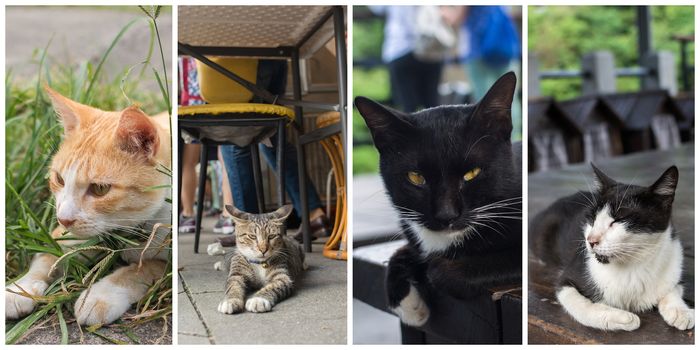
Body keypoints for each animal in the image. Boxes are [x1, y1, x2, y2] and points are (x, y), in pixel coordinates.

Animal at [5, 87, 171, 326]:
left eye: (100, 189)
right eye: (59, 179)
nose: (64, 218)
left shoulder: (167, 261)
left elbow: (140, 270)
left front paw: (100, 295)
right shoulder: (65, 236)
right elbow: (48, 257)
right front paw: (20, 289)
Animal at [356, 72, 520, 326]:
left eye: (471, 173)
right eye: (416, 177)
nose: (446, 214)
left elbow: (439, 270)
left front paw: (432, 269)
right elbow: (404, 251)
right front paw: (409, 306)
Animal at [532, 164, 692, 330]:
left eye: (618, 220)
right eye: (592, 218)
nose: (591, 240)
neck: (633, 266)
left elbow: (673, 288)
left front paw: (681, 312)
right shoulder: (567, 280)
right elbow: (580, 305)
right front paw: (622, 318)